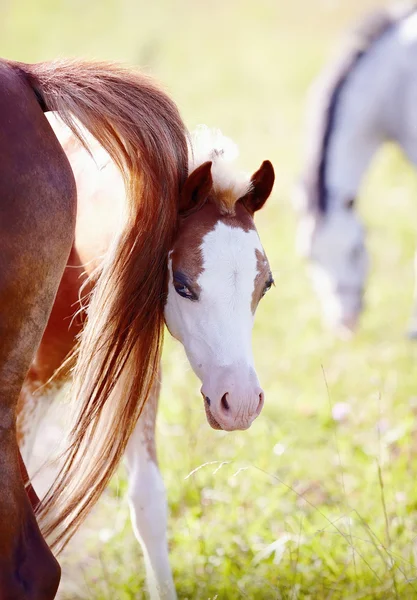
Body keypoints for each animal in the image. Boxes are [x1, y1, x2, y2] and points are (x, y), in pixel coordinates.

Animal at [16, 110, 274, 596]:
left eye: (265, 285)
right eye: (182, 284)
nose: (240, 403)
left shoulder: (133, 374)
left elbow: (148, 501)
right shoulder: (28, 387)